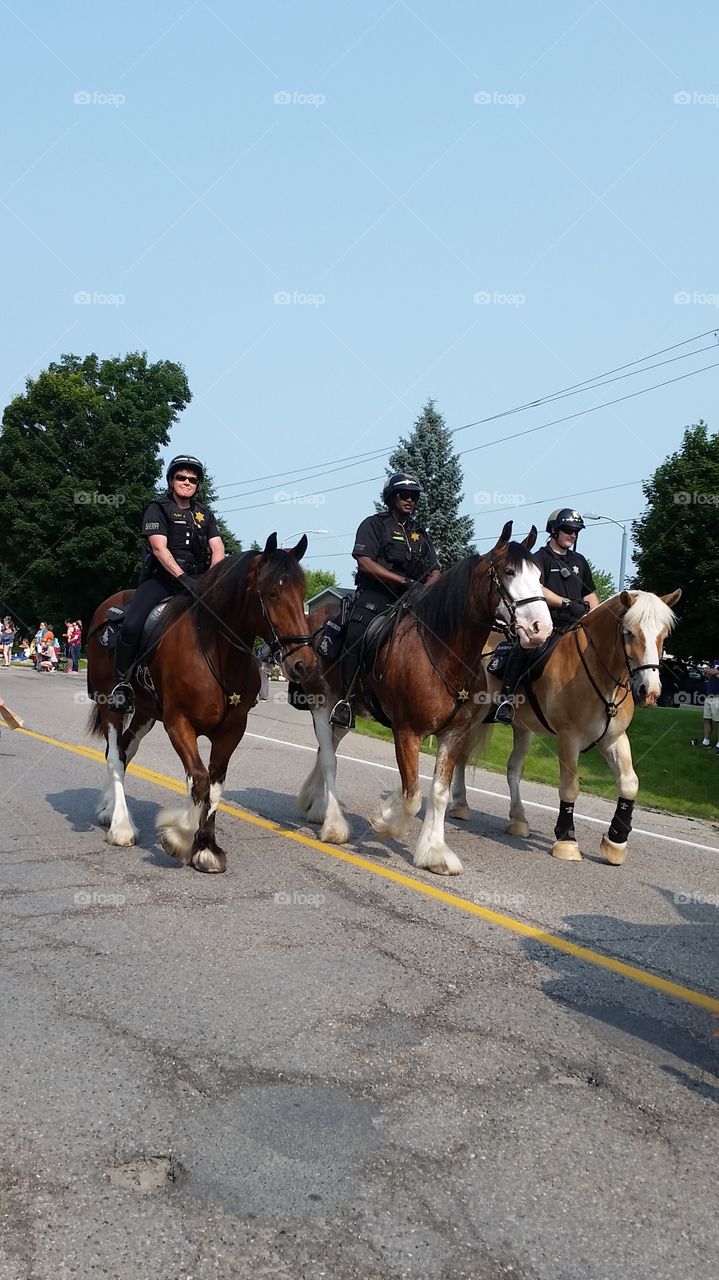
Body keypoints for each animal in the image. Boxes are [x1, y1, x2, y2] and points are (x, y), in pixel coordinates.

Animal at [84, 529, 313, 870]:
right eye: (272, 593)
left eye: (302, 592)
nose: (303, 663)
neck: (216, 650)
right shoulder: (179, 723)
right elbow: (200, 780)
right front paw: (179, 836)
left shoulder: (232, 730)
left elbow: (214, 786)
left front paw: (206, 846)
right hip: (109, 702)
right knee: (114, 755)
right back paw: (121, 826)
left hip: (145, 713)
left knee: (124, 752)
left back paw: (107, 809)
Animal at [294, 524, 550, 875]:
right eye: (509, 572)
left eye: (539, 575)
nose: (542, 628)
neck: (443, 652)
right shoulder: (407, 732)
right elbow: (412, 795)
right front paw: (388, 818)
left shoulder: (454, 735)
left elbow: (439, 793)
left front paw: (434, 852)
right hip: (321, 702)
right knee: (330, 758)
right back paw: (333, 824)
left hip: (344, 711)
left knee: (326, 749)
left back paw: (315, 805)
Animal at [447, 588, 675, 870]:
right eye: (630, 632)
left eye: (663, 635)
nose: (649, 691)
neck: (600, 675)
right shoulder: (568, 738)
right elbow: (569, 787)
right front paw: (567, 841)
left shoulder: (614, 739)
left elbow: (629, 783)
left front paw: (616, 842)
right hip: (475, 717)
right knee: (461, 756)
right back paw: (460, 805)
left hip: (523, 728)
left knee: (513, 769)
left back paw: (518, 819)